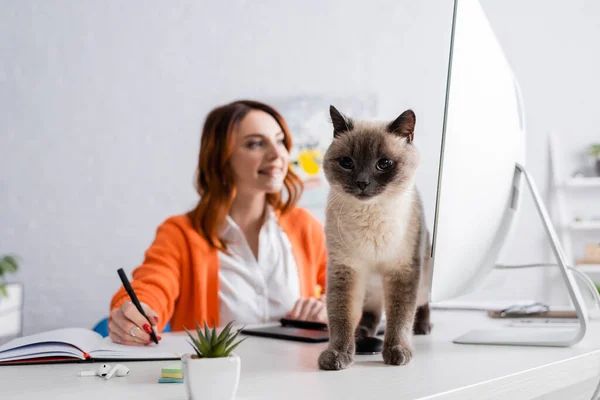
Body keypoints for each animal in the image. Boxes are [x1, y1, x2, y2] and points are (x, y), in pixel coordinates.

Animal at [318, 104, 432, 370]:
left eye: (384, 163)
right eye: (347, 162)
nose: (362, 182)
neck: (370, 215)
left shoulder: (403, 271)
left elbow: (400, 317)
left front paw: (397, 352)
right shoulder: (345, 269)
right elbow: (340, 318)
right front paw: (337, 355)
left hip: (421, 282)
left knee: (422, 304)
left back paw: (422, 328)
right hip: (369, 287)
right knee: (373, 312)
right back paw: (362, 333)